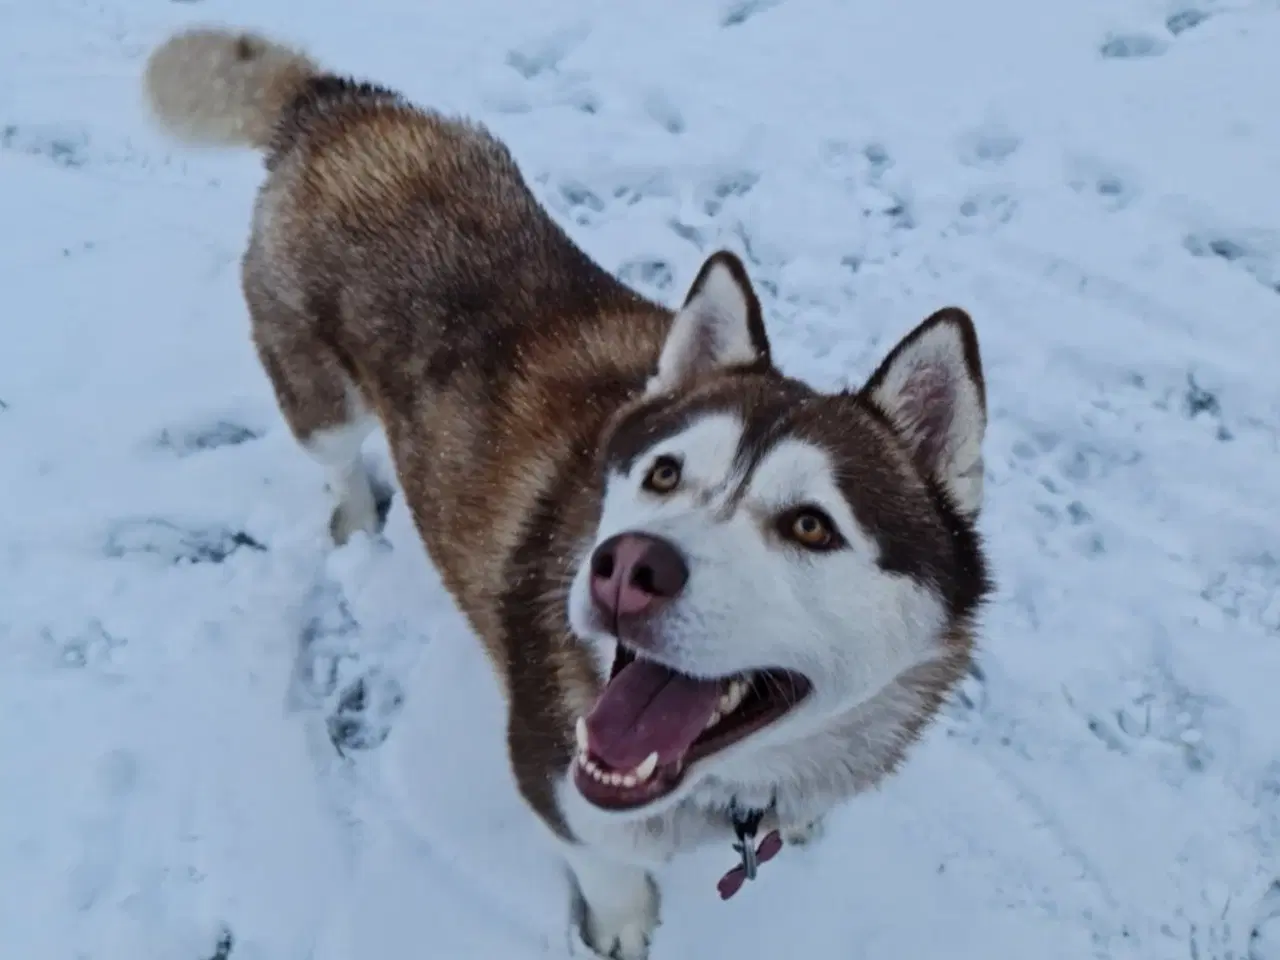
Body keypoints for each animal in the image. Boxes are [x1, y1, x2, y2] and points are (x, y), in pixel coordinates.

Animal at [145, 26, 993, 957]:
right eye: (664, 473)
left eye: (812, 526)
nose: (627, 567)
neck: (724, 784)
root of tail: (338, 104)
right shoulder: (551, 771)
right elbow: (604, 864)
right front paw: (621, 926)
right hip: (317, 392)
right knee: (333, 452)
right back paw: (358, 518)